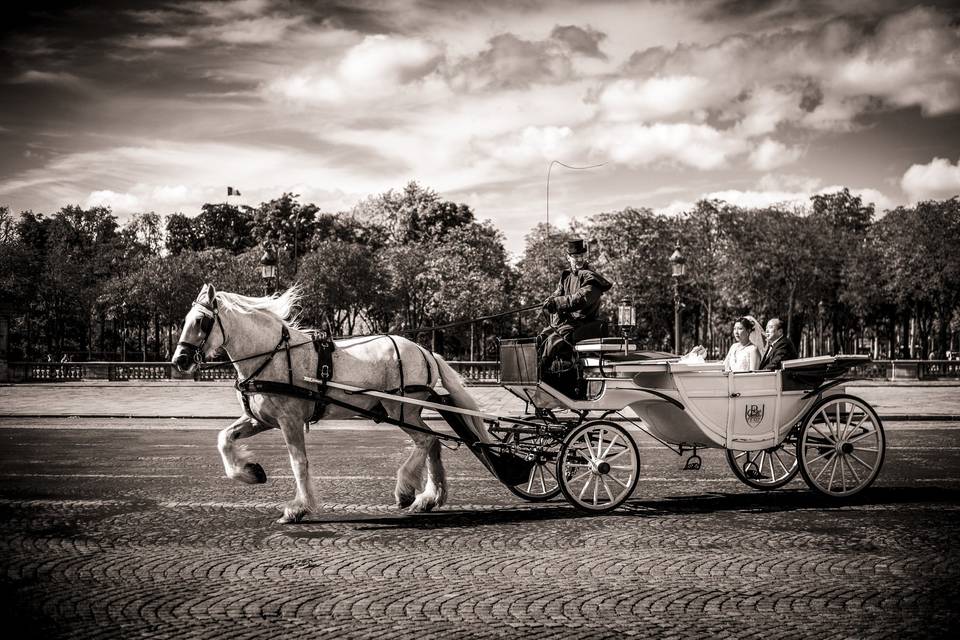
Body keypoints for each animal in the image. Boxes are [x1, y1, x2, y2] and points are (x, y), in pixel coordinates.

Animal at [171, 282, 496, 524]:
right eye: (185, 320)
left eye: (201, 321)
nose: (179, 360)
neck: (273, 355)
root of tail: (425, 351)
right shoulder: (260, 419)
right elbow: (223, 438)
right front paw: (250, 472)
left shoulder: (290, 420)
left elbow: (298, 462)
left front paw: (298, 508)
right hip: (406, 411)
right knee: (433, 443)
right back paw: (430, 497)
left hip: (401, 408)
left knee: (425, 441)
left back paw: (406, 489)